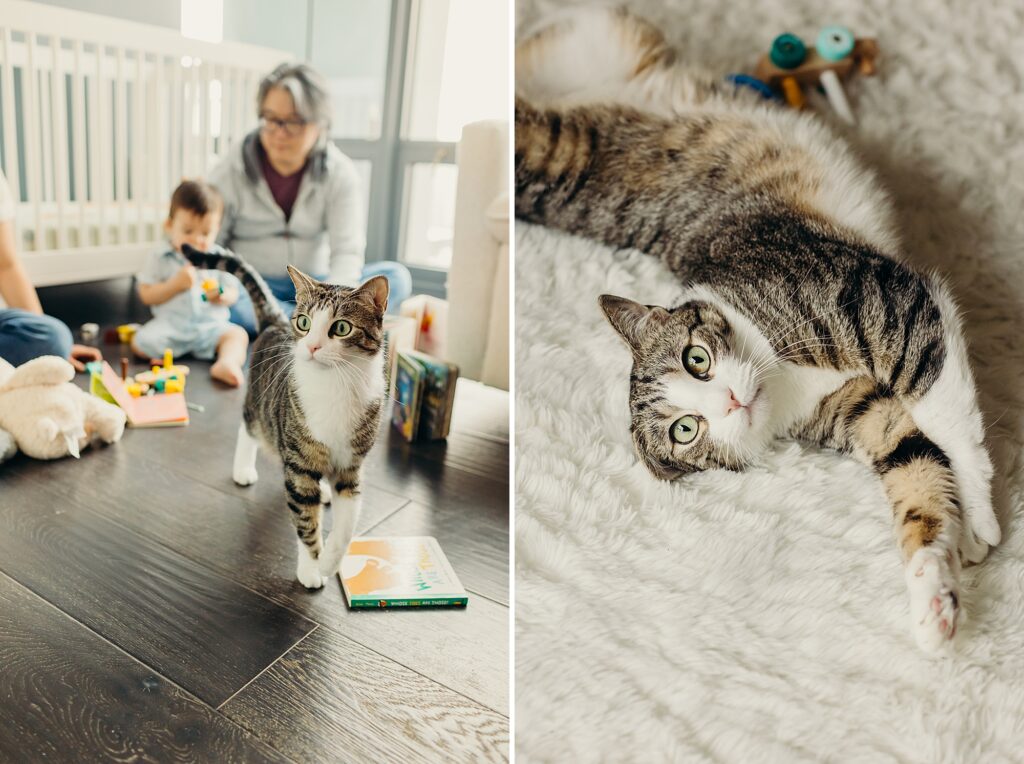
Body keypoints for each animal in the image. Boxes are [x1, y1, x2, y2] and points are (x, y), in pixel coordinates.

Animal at [180, 243, 387, 589]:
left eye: (341, 327)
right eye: (304, 322)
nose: (312, 346)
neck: (334, 386)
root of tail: (274, 321)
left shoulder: (352, 465)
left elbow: (346, 526)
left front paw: (331, 561)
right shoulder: (299, 464)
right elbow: (305, 520)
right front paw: (312, 568)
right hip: (259, 406)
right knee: (248, 428)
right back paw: (243, 469)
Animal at [516, 5, 995, 651]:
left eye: (696, 358)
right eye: (686, 431)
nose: (731, 400)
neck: (786, 375)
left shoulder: (880, 297)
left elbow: (945, 412)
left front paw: (980, 515)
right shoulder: (863, 405)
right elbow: (915, 465)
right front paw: (935, 597)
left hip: (559, 112)